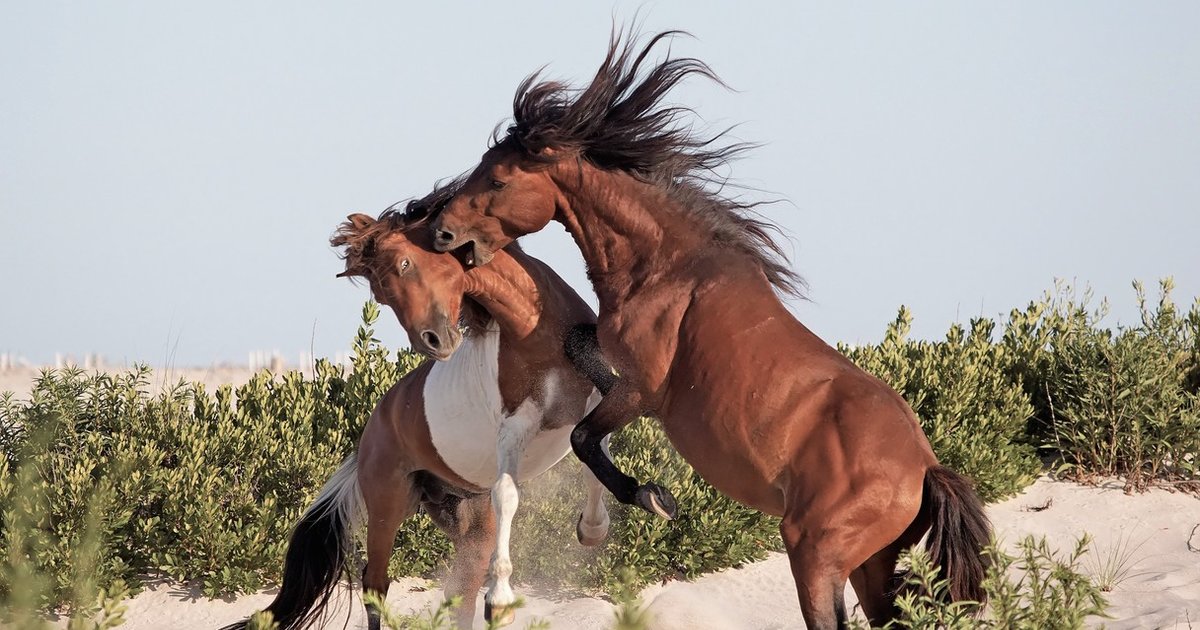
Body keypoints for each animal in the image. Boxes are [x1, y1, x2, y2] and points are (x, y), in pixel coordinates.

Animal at [221, 188, 614, 630]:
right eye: (380, 294)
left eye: (406, 264)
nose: (432, 342)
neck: (536, 328)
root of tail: (368, 437)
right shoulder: (516, 426)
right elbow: (509, 494)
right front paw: (501, 599)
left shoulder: (596, 401)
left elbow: (594, 456)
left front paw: (593, 529)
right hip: (387, 507)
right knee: (375, 583)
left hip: (466, 520)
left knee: (460, 592)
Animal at [428, 30, 992, 629]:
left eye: (498, 178)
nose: (441, 231)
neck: (668, 265)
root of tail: (926, 468)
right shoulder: (617, 366)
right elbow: (580, 356)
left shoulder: (644, 390)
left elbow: (583, 436)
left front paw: (645, 502)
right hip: (870, 566)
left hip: (815, 556)